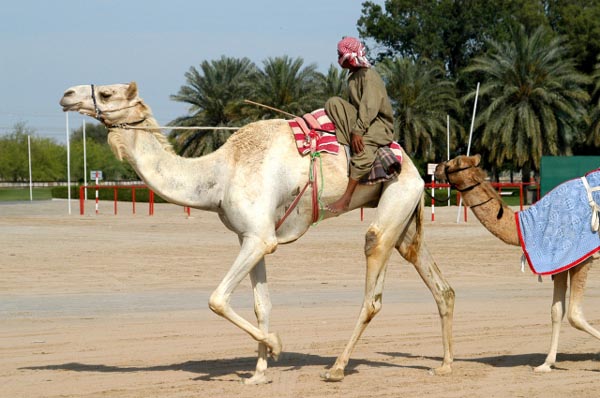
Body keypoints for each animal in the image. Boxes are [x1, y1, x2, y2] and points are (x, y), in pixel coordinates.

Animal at [59, 82, 454, 384]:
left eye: (107, 93)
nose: (66, 94)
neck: (218, 175)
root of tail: (415, 168)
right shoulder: (251, 236)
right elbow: (261, 304)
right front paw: (259, 373)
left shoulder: (260, 238)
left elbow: (217, 299)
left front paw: (276, 346)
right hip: (404, 219)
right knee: (440, 286)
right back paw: (444, 365)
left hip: (395, 201)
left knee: (373, 284)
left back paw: (337, 368)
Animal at [436, 154, 600, 372]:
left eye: (453, 163)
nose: (437, 168)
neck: (523, 225)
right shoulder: (558, 263)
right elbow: (557, 311)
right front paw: (546, 364)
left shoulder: (580, 259)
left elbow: (575, 315)